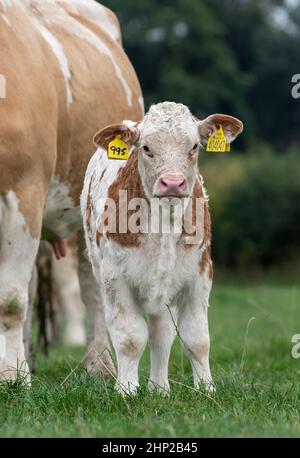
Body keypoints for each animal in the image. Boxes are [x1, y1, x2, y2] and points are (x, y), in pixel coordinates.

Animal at [0, 0, 143, 382]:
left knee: (92, 285)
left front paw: (10, 376)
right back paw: (28, 358)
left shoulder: (25, 191)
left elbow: (9, 300)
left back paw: (99, 363)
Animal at [81, 101, 244, 394]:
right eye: (146, 147)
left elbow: (197, 338)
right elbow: (130, 337)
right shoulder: (115, 279)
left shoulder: (200, 276)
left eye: (194, 146)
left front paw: (206, 389)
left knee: (162, 333)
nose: (173, 183)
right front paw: (127, 389)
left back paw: (159, 388)